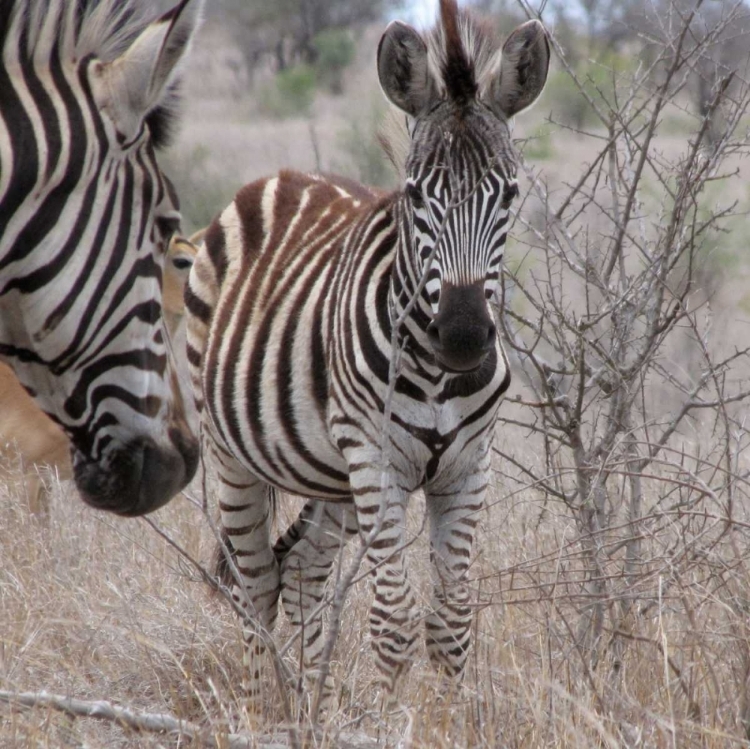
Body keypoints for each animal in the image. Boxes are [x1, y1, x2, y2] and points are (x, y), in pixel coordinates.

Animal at [187, 0, 548, 700]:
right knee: (254, 585)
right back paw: (261, 708)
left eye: (510, 194)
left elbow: (452, 621)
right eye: (415, 194)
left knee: (301, 573)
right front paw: (389, 716)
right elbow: (394, 620)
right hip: (233, 454)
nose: (464, 335)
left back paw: (307, 708)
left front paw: (442, 717)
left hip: (330, 477)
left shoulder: (467, 469)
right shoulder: (377, 462)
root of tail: (279, 178)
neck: (438, 374)